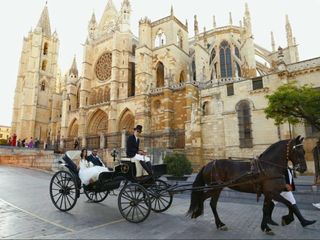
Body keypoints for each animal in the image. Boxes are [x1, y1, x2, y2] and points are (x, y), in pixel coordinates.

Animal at [188, 137, 316, 234]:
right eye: (298, 151)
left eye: (304, 151)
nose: (303, 168)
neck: (269, 166)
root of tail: (207, 165)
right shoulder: (273, 192)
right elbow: (289, 203)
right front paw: (287, 219)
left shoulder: (268, 194)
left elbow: (266, 209)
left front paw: (265, 227)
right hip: (216, 188)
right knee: (205, 199)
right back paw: (209, 219)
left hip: (217, 189)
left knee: (210, 202)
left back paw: (213, 221)